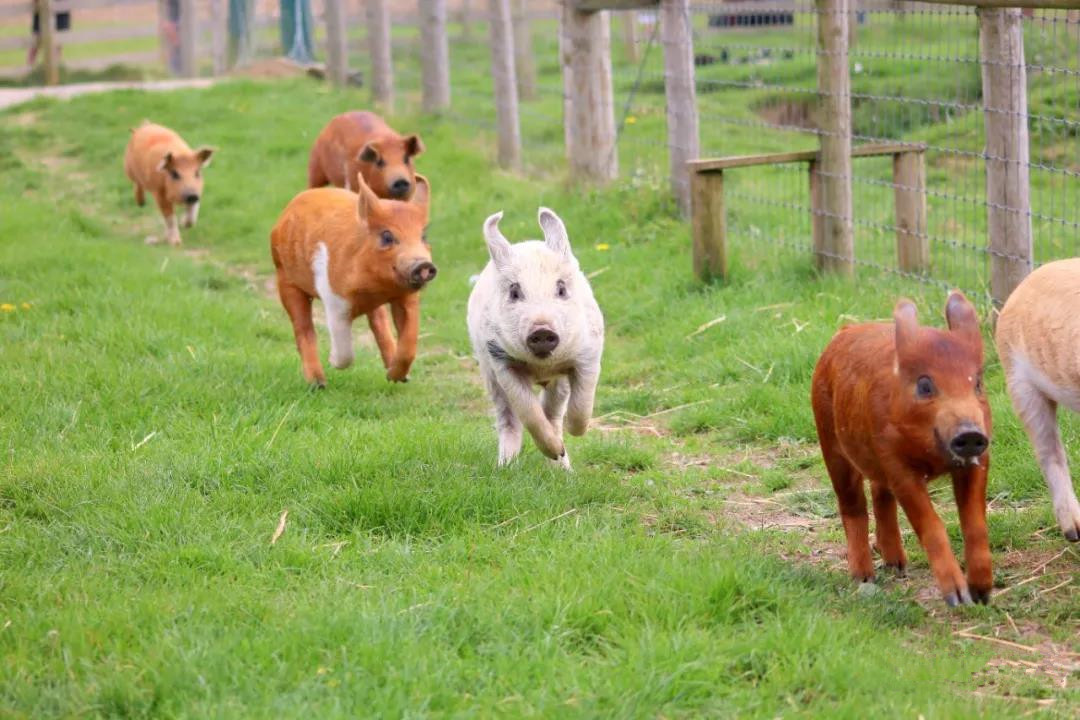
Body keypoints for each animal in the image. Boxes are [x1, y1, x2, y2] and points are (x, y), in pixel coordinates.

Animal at [270, 171, 434, 386]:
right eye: (387, 236)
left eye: (423, 237)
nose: (423, 264)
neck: (376, 289)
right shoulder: (333, 297)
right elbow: (343, 344)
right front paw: (334, 363)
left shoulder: (407, 297)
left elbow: (409, 342)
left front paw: (397, 378)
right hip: (285, 278)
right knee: (303, 328)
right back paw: (318, 384)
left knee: (379, 323)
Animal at [466, 208, 604, 470]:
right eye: (514, 291)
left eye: (561, 289)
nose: (542, 329)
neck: (542, 366)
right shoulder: (501, 361)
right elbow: (528, 411)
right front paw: (553, 450)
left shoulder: (590, 352)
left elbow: (583, 403)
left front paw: (575, 432)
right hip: (488, 375)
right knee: (508, 419)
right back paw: (506, 466)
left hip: (559, 384)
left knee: (553, 414)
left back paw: (564, 468)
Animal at [812, 293, 993, 608]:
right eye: (925, 385)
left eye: (978, 383)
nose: (970, 432)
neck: (934, 458)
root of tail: (843, 332)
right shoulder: (897, 466)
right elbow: (931, 525)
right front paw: (957, 598)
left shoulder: (979, 458)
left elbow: (974, 521)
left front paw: (982, 594)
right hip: (830, 443)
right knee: (852, 506)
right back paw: (863, 578)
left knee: (879, 494)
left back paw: (898, 566)